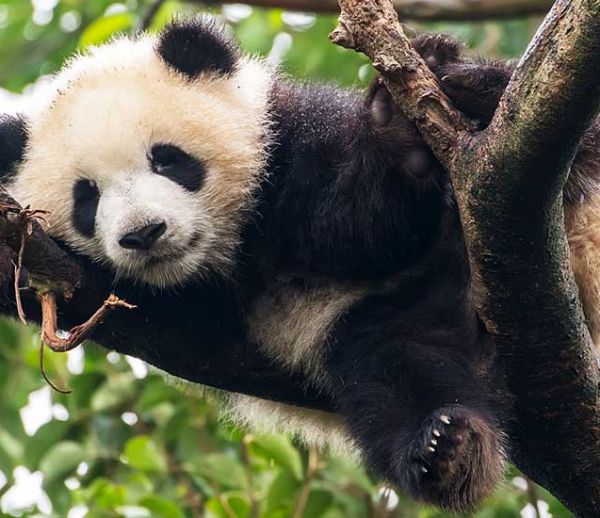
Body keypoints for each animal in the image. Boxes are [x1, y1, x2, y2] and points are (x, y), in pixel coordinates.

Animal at [0, 18, 596, 512]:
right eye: (86, 198)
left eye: (167, 159)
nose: (144, 234)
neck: (234, 248)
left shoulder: (294, 142)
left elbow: (366, 223)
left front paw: (400, 128)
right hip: (381, 320)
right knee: (403, 366)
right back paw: (445, 448)